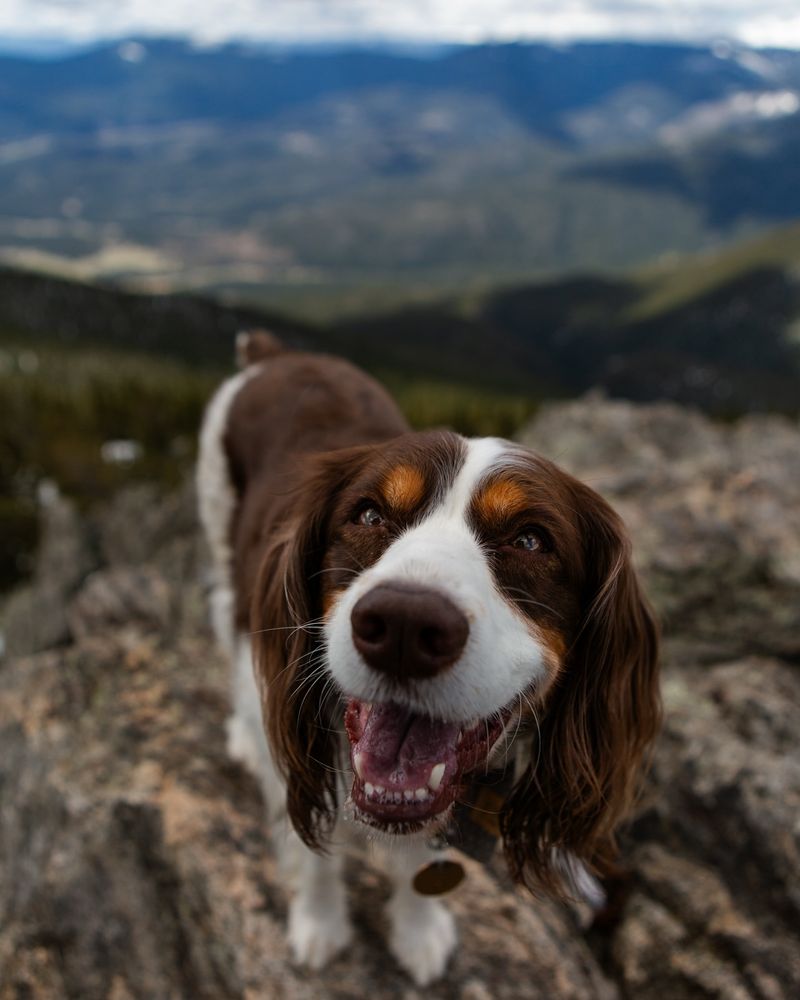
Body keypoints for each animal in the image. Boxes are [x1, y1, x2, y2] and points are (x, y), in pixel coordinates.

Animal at [197, 334, 660, 984]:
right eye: (368, 514)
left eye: (531, 539)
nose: (403, 626)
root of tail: (277, 352)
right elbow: (312, 853)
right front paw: (319, 924)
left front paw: (418, 931)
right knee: (226, 616)